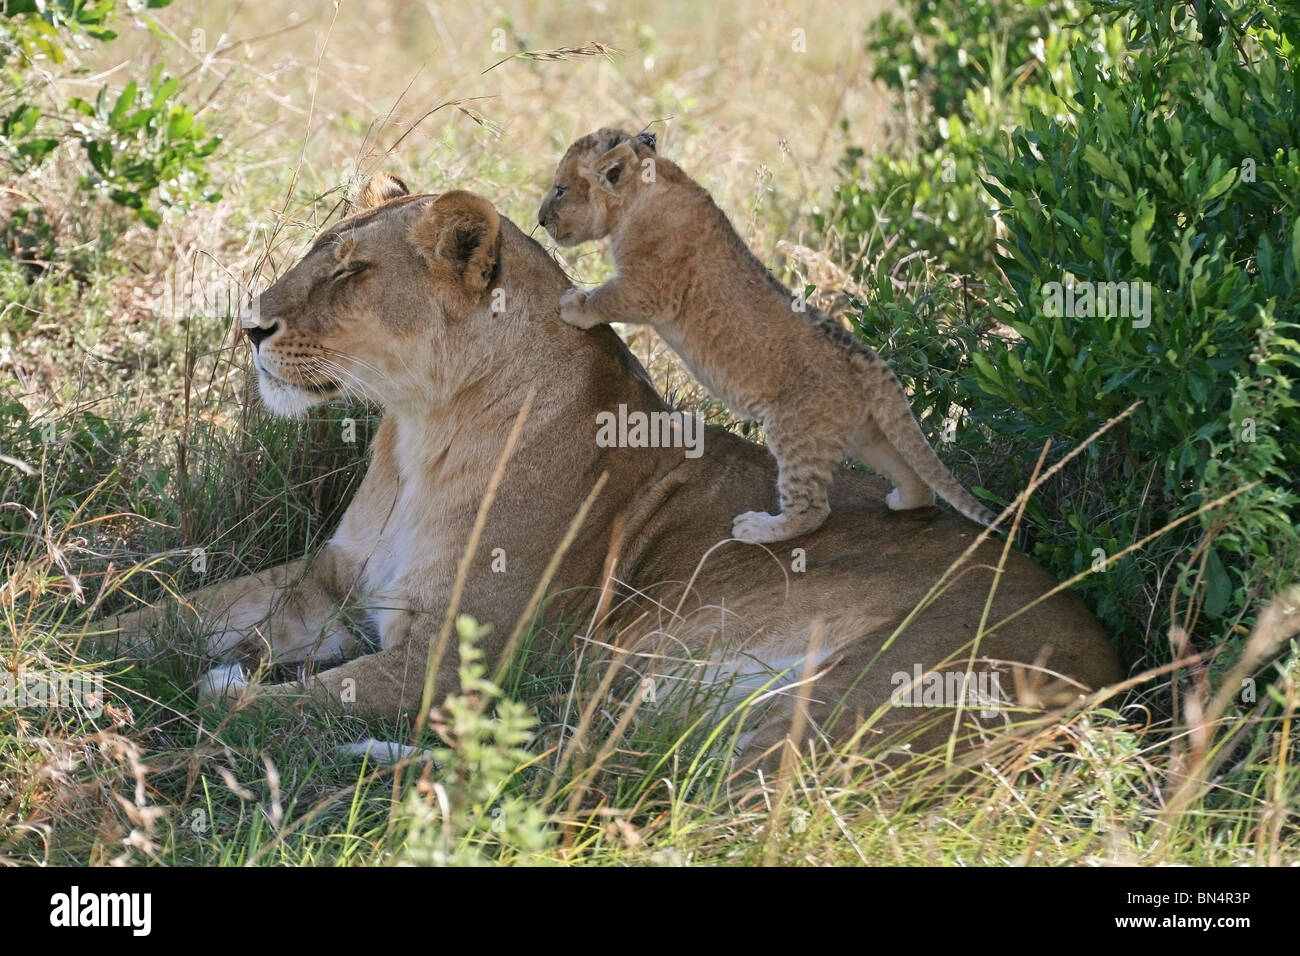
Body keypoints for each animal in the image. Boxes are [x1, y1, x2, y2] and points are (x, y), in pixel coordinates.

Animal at [108, 173, 1121, 771]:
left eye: (351, 273)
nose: (248, 326)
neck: (422, 436)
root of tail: (1113, 680)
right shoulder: (327, 584)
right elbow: (166, 614)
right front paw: (78, 645)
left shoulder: (459, 658)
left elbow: (275, 707)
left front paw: (213, 700)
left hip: (803, 692)